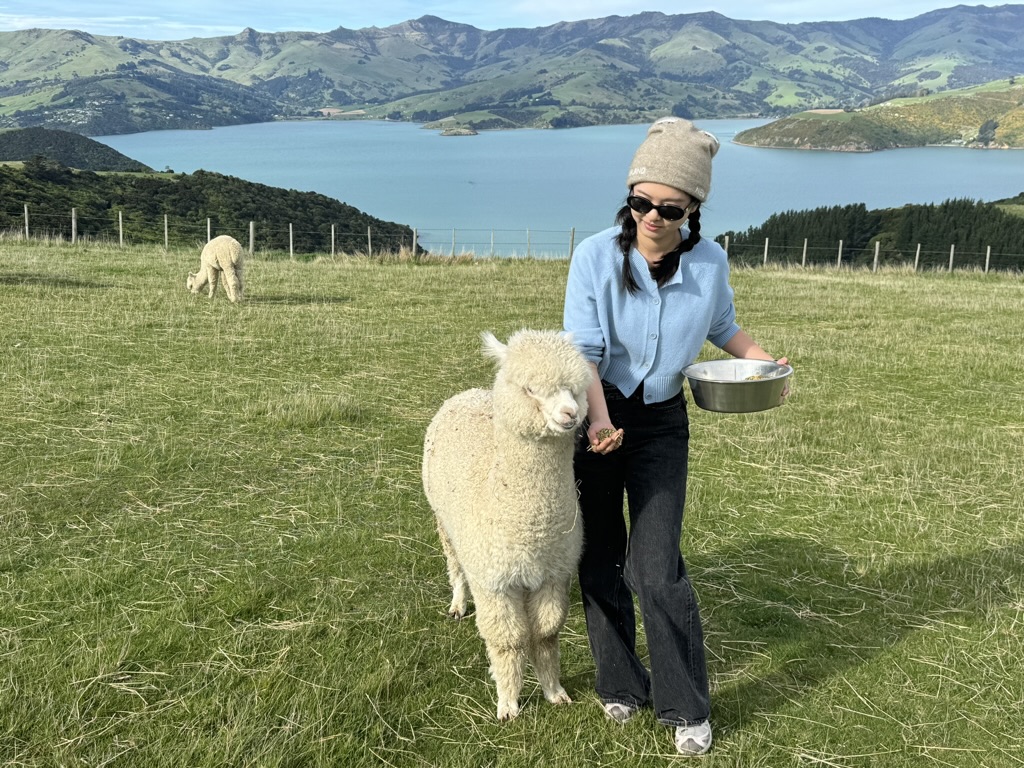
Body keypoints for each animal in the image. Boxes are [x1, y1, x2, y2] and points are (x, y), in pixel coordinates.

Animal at [422, 329, 592, 721]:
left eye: (575, 388)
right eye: (530, 388)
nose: (570, 414)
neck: (531, 531)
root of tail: (467, 392)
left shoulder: (552, 574)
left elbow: (545, 634)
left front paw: (554, 692)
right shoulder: (495, 581)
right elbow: (508, 640)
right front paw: (507, 703)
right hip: (443, 520)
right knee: (455, 565)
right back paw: (458, 604)